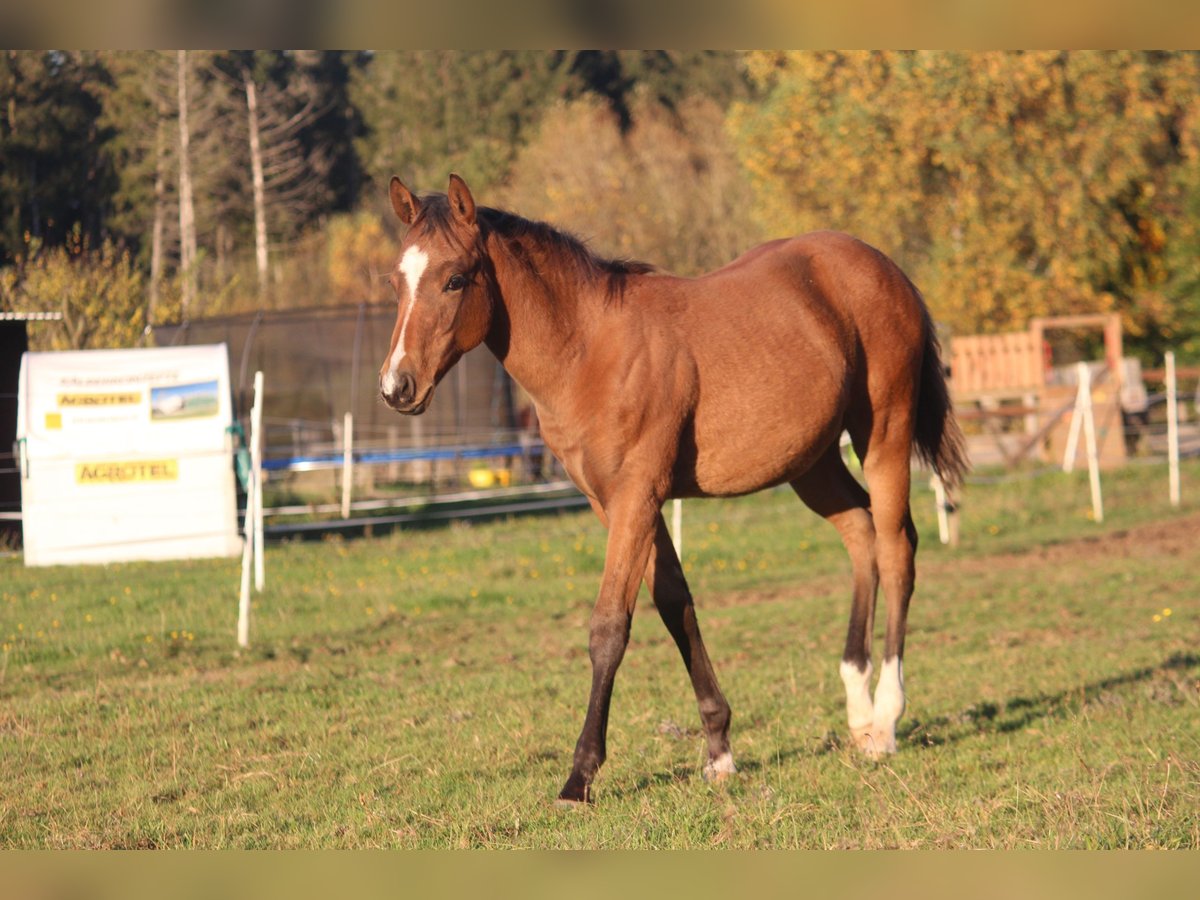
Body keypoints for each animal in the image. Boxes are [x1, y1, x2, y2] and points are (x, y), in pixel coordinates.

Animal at [374, 174, 964, 801]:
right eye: (395, 280)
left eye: (455, 278)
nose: (396, 386)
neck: (588, 350)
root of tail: (884, 267)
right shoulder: (614, 502)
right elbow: (675, 603)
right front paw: (720, 750)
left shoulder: (636, 495)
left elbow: (610, 626)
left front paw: (580, 776)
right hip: (813, 463)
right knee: (861, 534)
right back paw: (858, 711)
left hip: (884, 433)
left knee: (896, 548)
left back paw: (887, 720)